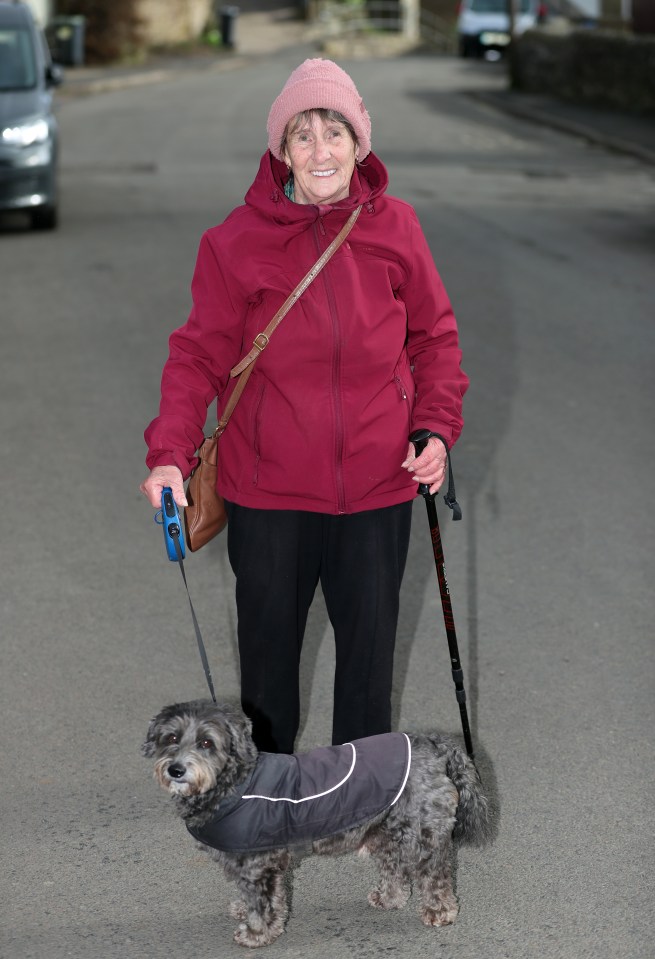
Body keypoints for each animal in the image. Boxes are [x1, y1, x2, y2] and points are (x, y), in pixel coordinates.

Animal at [145, 700, 492, 948]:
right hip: (386, 828)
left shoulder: (258, 864)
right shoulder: (256, 863)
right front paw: (251, 913)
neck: (233, 783)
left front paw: (257, 934)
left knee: (435, 877)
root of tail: (433, 743)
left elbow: (261, 903)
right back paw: (389, 898)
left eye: (206, 743)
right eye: (171, 738)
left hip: (422, 835)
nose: (176, 769)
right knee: (394, 867)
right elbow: (262, 897)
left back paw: (439, 912)